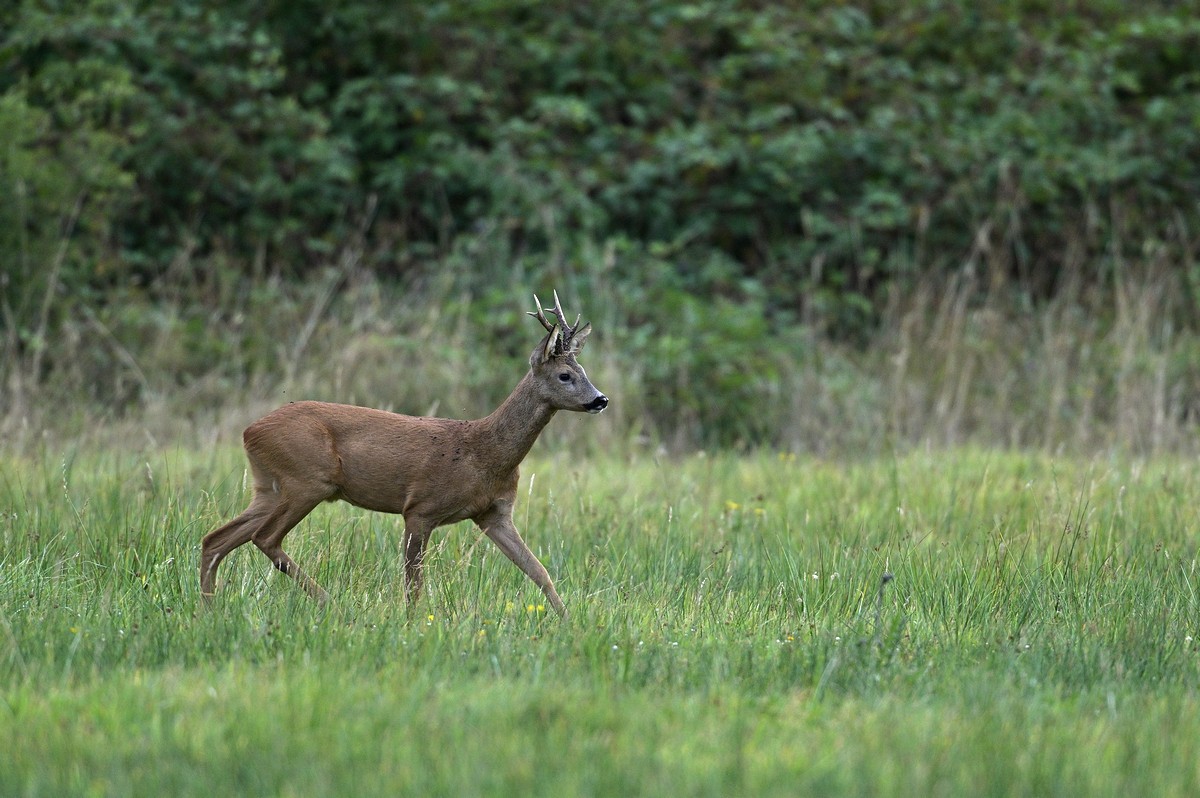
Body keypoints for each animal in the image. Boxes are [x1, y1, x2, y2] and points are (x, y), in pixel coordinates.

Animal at [202, 292, 609, 614]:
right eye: (564, 376)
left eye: (584, 370)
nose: (600, 399)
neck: (485, 453)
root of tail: (249, 431)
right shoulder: (420, 508)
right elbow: (414, 584)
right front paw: (413, 625)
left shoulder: (494, 514)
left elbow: (539, 571)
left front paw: (568, 622)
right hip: (307, 479)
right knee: (264, 538)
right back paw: (330, 602)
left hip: (268, 487)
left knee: (216, 539)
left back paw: (209, 608)